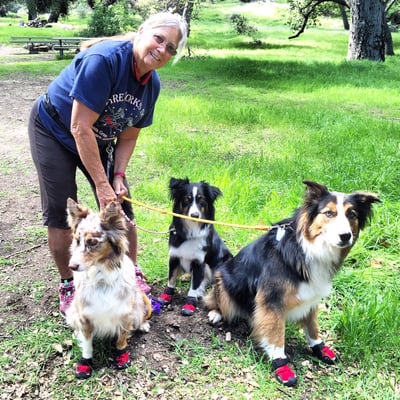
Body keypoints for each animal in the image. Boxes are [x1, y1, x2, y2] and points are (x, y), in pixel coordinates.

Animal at [65, 198, 151, 380]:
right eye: (77, 240)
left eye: (92, 242)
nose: (71, 266)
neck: (101, 279)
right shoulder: (85, 316)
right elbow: (87, 345)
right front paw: (86, 363)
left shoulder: (125, 313)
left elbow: (121, 340)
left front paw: (121, 356)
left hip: (139, 302)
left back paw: (143, 325)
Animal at [156, 177, 231, 316]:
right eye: (187, 199)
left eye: (201, 199)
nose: (195, 215)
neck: (191, 229)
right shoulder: (174, 256)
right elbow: (171, 279)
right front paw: (166, 296)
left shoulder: (199, 262)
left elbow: (195, 285)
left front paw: (190, 303)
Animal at [205, 182, 380, 388]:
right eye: (329, 213)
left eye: (351, 214)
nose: (345, 236)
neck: (306, 250)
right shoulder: (271, 301)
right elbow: (276, 338)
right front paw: (281, 366)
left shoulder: (311, 295)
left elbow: (312, 326)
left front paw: (319, 348)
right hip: (224, 282)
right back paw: (216, 313)